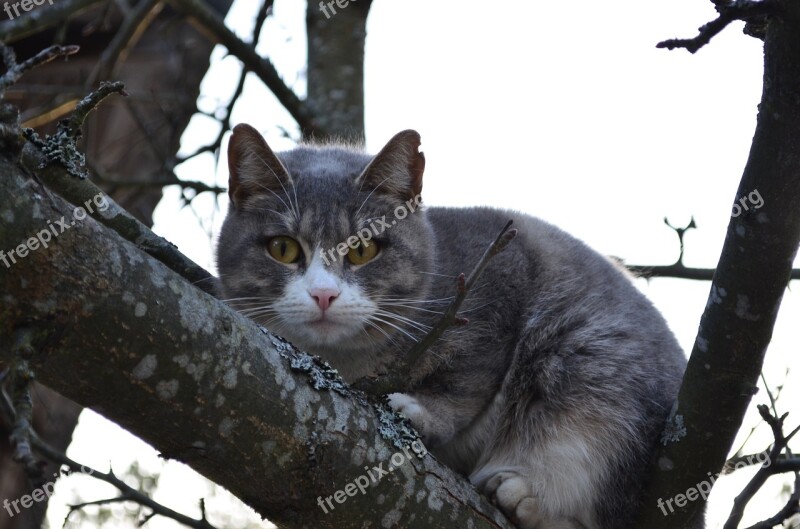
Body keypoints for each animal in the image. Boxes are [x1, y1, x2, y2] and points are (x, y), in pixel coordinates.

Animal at [216, 125, 692, 528]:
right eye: (283, 248)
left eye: (363, 249)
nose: (323, 294)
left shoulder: (501, 270)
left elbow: (467, 377)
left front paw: (421, 411)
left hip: (593, 374)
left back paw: (524, 497)